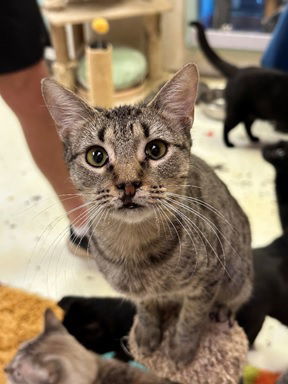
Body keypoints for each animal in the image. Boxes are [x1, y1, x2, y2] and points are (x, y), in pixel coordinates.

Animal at [41, 63, 252, 366]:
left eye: (156, 149)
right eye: (96, 156)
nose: (128, 184)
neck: (135, 247)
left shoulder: (207, 282)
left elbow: (191, 319)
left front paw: (181, 350)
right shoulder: (139, 293)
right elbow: (146, 307)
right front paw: (148, 333)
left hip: (237, 275)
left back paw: (222, 311)